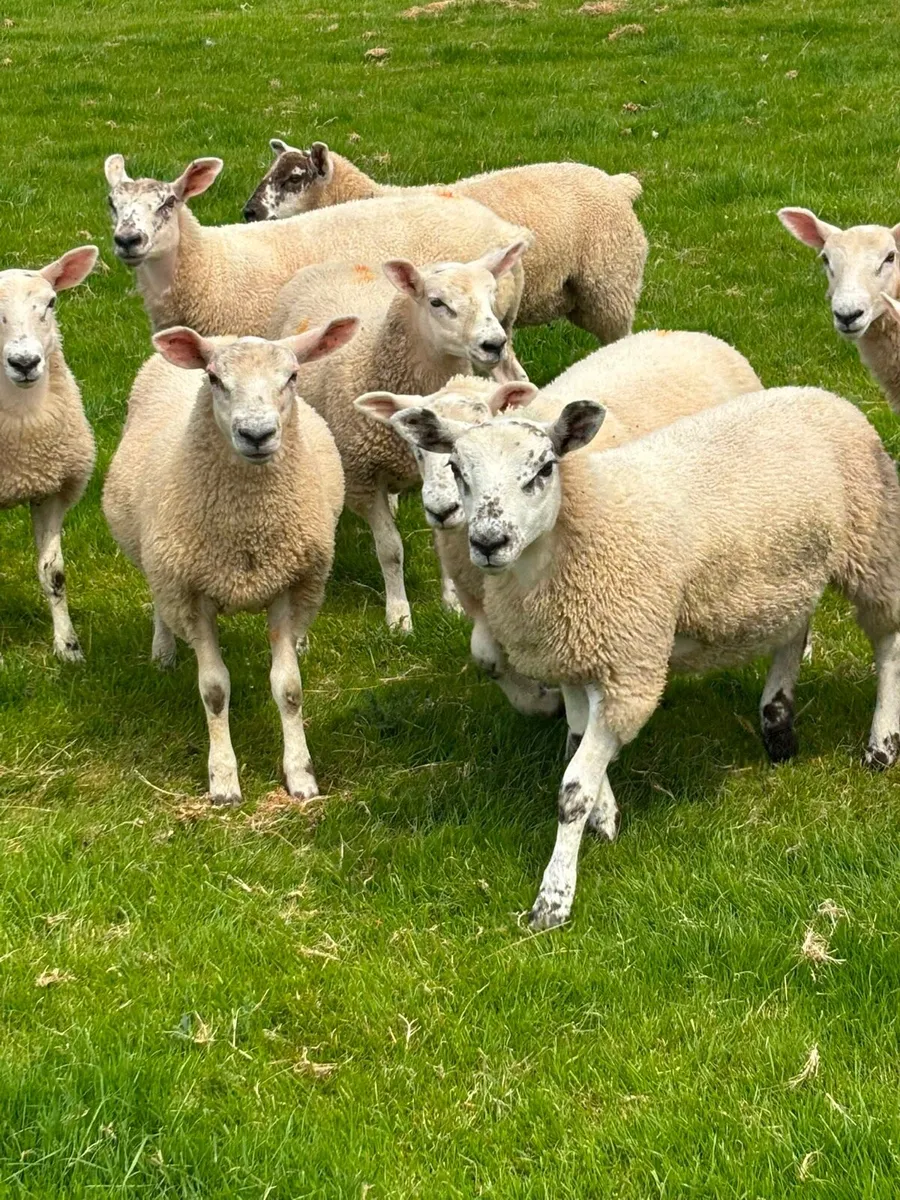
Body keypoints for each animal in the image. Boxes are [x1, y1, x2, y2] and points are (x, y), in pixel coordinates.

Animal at [102, 318, 359, 805]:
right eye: (215, 380)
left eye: (292, 376)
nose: (256, 435)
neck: (247, 532)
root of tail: (216, 335)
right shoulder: (191, 593)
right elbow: (215, 690)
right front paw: (223, 780)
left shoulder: (289, 585)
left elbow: (289, 687)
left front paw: (301, 774)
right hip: (157, 557)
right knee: (159, 601)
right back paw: (163, 651)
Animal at [265, 242, 527, 632]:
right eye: (437, 302)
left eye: (491, 295)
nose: (494, 344)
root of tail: (339, 261)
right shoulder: (362, 478)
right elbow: (390, 550)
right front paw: (399, 617)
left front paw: (453, 603)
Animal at [357, 330, 761, 710]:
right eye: (424, 451)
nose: (442, 510)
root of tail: (689, 334)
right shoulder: (487, 606)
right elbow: (487, 658)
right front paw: (536, 700)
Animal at [392, 386, 900, 929]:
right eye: (458, 469)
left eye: (544, 469)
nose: (489, 543)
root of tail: (822, 394)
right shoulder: (573, 657)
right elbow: (577, 740)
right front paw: (605, 817)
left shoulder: (629, 670)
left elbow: (572, 788)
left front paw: (554, 897)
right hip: (784, 572)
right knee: (793, 626)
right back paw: (777, 722)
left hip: (870, 543)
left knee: (888, 641)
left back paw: (880, 744)